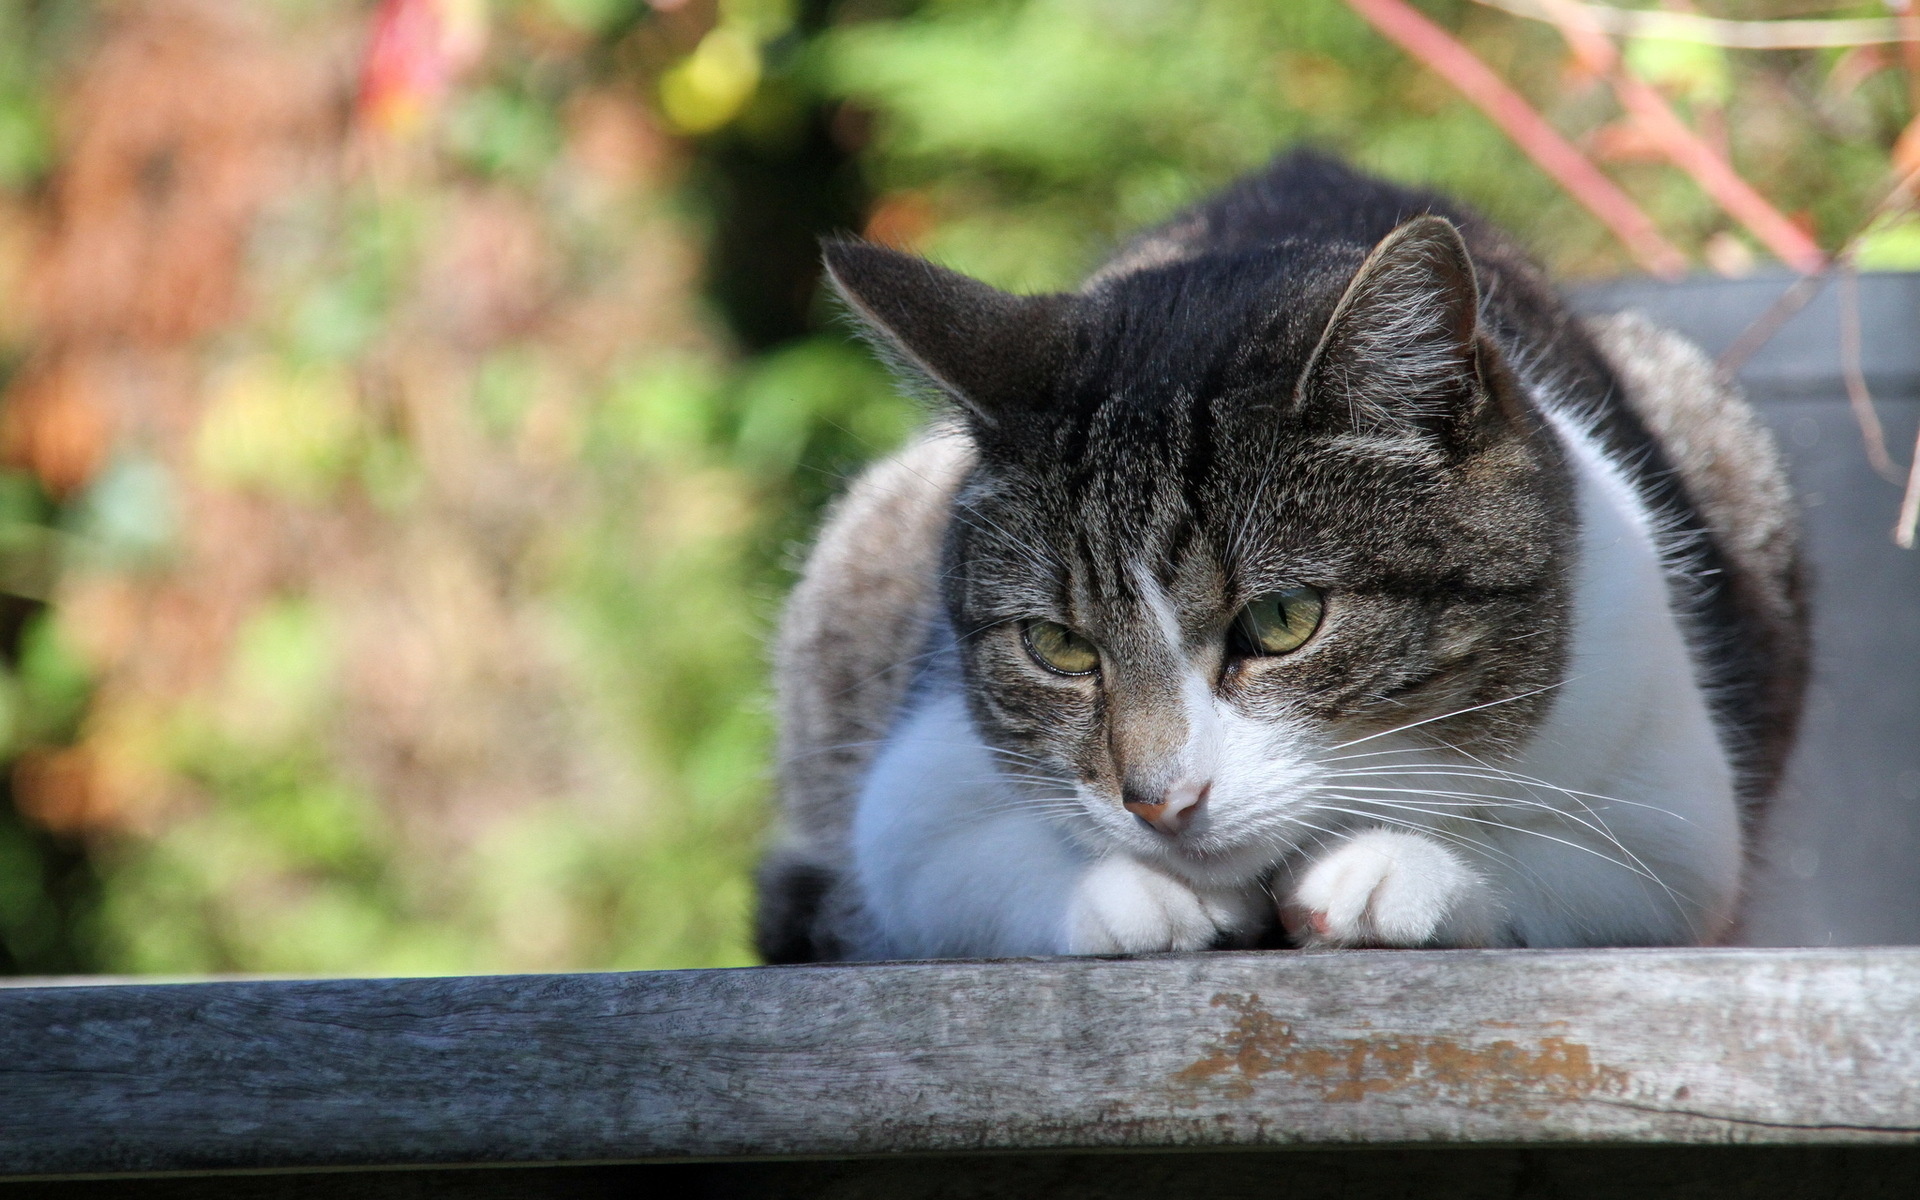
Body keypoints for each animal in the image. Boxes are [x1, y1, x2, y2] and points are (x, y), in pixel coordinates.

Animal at [744, 149, 1797, 960]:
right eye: (1059, 646)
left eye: (1282, 621)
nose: (1158, 802)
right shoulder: (911, 792)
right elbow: (959, 863)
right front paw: (1135, 891)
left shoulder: (1675, 805)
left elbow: (1586, 856)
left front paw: (1393, 864)